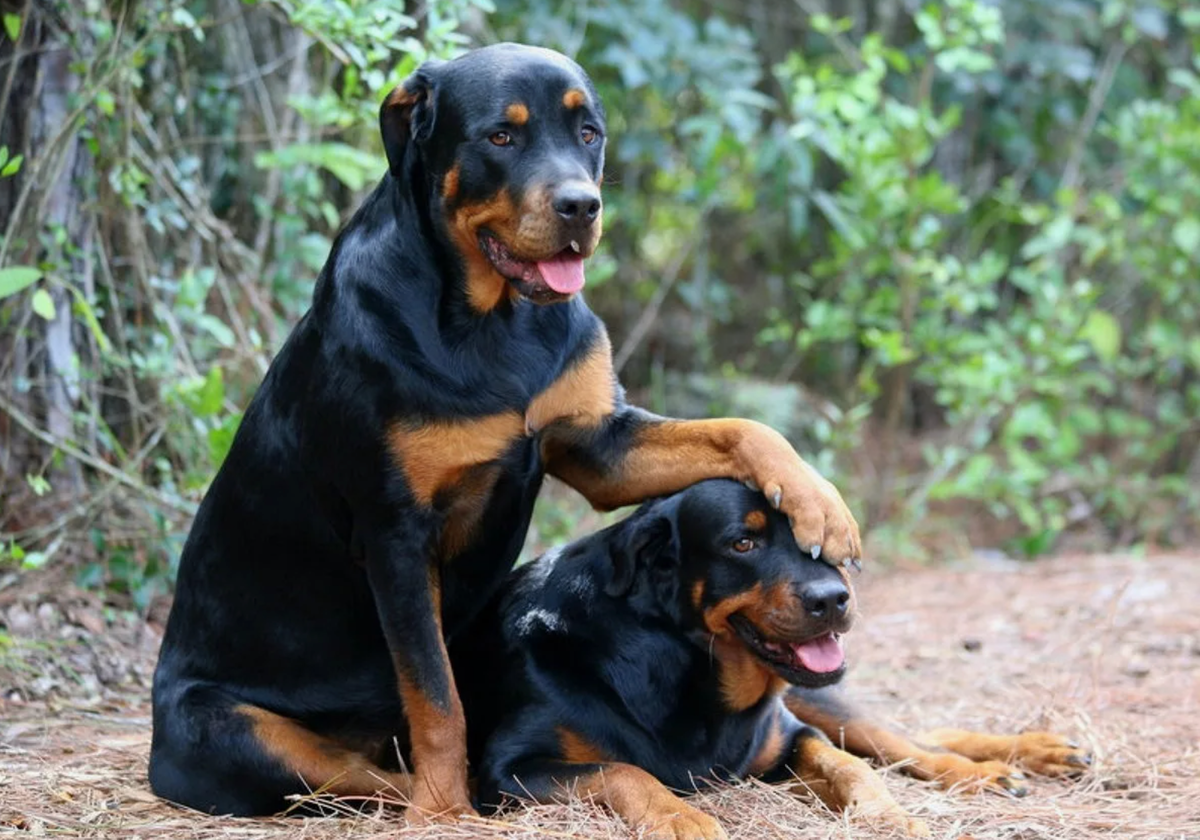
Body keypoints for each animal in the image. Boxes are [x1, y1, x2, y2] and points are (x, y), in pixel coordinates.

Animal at [150, 44, 864, 820]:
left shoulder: (598, 444)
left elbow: (742, 427)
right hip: (242, 734)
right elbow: (436, 695)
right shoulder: (397, 534)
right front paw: (443, 811)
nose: (581, 205)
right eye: (500, 137)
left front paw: (819, 502)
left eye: (589, 133)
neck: (495, 323)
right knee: (355, 770)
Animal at [453, 480, 1094, 840]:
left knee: (906, 742)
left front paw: (885, 816)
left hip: (818, 696)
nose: (833, 599)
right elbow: (622, 770)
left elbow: (849, 765)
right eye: (744, 542)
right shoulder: (507, 772)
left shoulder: (789, 734)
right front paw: (681, 818)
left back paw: (1011, 761)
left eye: (824, 543)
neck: (683, 666)